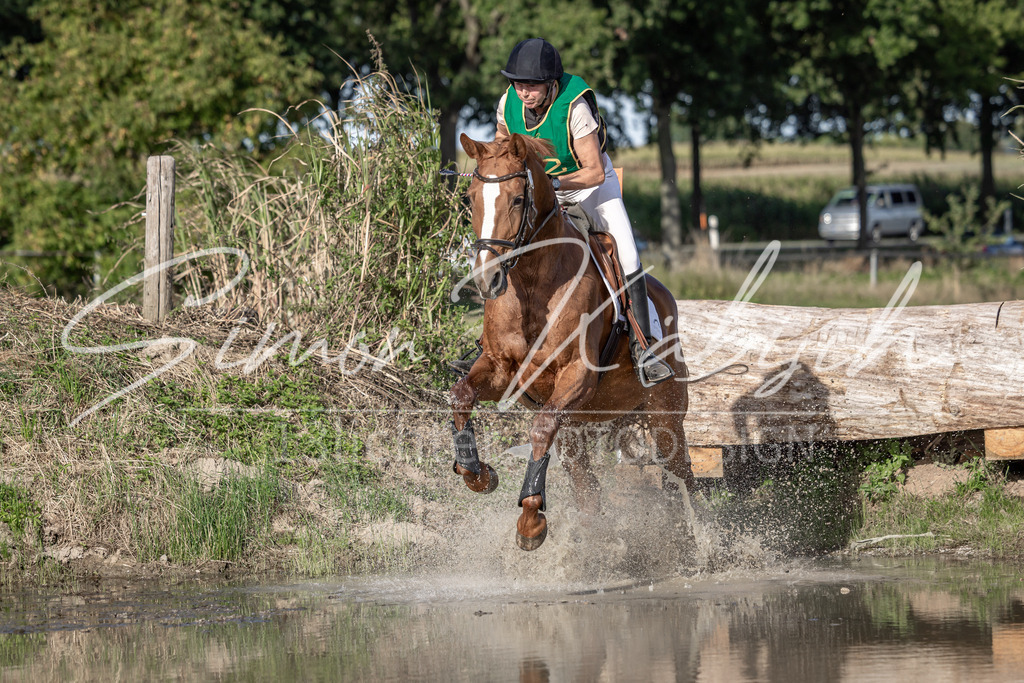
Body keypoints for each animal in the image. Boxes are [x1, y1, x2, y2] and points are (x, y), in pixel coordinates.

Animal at [450, 132, 692, 551]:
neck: (531, 282)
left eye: (518, 199)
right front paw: (479, 475)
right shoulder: (499, 369)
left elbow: (541, 428)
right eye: (470, 197)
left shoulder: (577, 374)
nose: (486, 279)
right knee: (587, 487)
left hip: (665, 417)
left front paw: (530, 522)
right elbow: (462, 396)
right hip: (582, 426)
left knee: (683, 476)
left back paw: (700, 542)